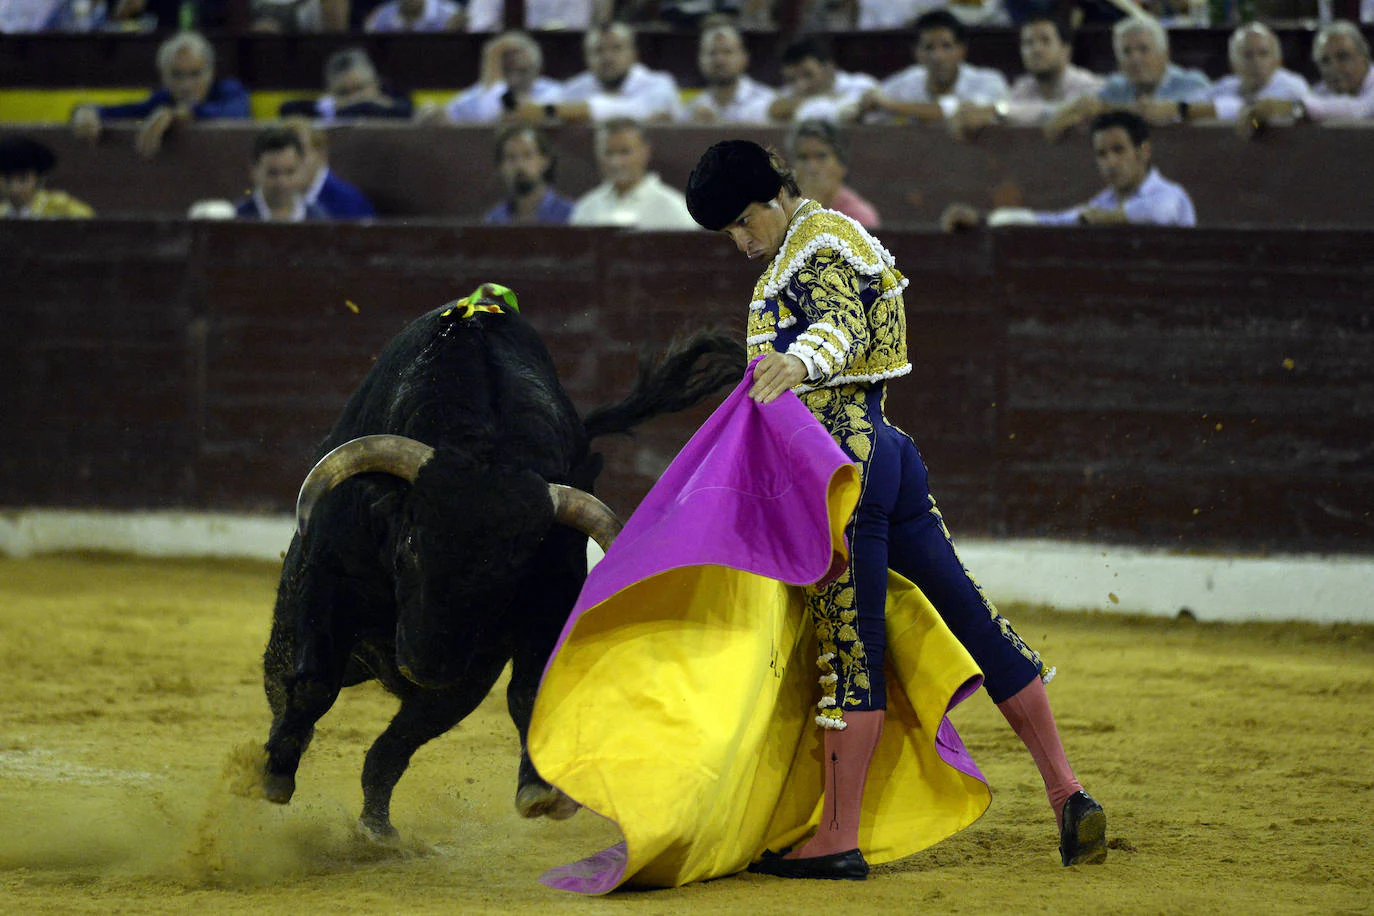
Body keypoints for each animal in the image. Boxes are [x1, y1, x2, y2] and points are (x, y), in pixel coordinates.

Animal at [261, 298, 747, 840]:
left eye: (509, 577)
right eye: (409, 544)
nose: (425, 668)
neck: (487, 445)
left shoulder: (531, 618)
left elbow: (524, 696)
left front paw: (538, 790)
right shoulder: (328, 579)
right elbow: (312, 682)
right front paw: (275, 775)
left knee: (393, 747)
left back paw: (377, 829)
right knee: (292, 686)